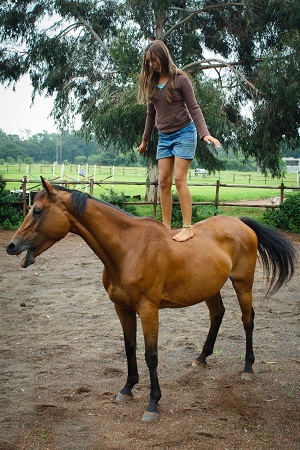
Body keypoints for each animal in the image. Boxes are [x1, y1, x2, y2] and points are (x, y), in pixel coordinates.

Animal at [6, 177, 296, 422]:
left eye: (38, 211)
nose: (11, 246)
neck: (128, 248)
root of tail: (240, 222)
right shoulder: (122, 309)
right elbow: (129, 347)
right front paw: (127, 388)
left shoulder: (148, 310)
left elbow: (151, 354)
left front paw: (153, 403)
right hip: (210, 288)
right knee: (217, 314)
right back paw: (202, 357)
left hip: (242, 283)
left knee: (248, 319)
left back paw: (247, 367)